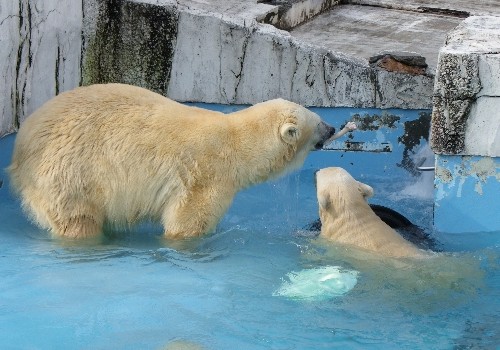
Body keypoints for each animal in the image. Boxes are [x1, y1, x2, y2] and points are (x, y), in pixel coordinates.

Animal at [8, 83, 340, 239]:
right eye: (318, 122)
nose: (333, 128)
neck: (235, 142)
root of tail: (20, 153)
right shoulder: (207, 177)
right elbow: (185, 224)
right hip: (70, 177)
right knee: (78, 219)